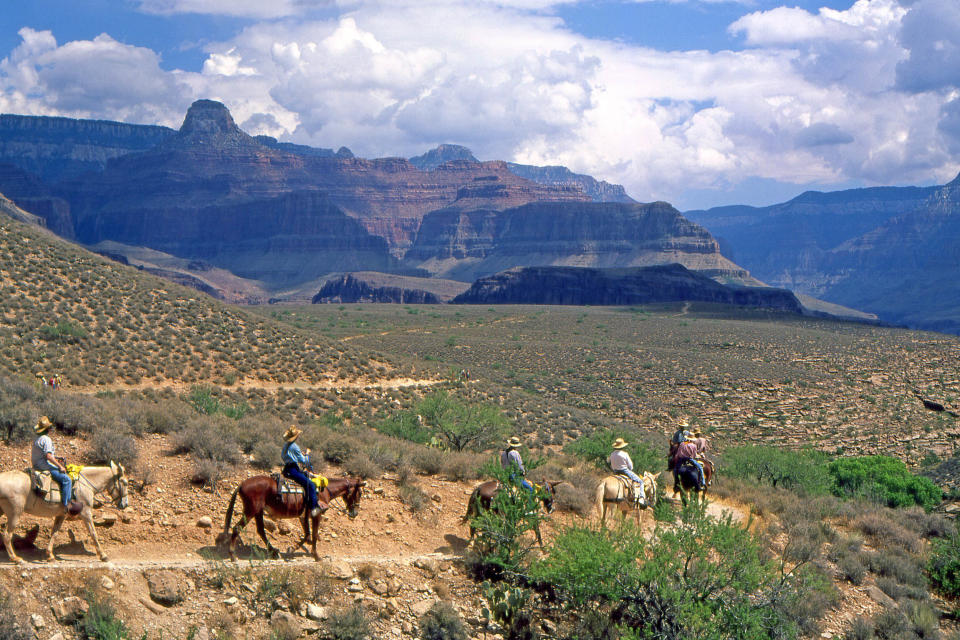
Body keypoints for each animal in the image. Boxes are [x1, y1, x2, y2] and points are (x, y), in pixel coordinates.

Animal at [0, 462, 129, 564]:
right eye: (125, 482)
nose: (125, 504)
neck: (84, 484)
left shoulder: (61, 515)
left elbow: (54, 533)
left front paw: (50, 555)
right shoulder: (86, 513)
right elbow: (93, 533)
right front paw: (103, 556)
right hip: (15, 513)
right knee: (7, 535)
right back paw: (15, 559)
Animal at [216, 476, 366, 560]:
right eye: (359, 493)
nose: (355, 513)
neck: (323, 490)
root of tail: (241, 485)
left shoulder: (304, 516)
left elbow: (307, 535)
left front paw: (292, 549)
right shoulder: (316, 515)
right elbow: (314, 534)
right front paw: (316, 556)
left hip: (258, 512)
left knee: (261, 531)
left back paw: (274, 551)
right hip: (250, 511)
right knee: (237, 528)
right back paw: (232, 555)